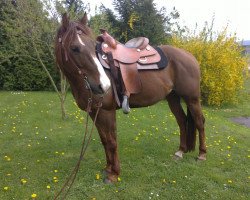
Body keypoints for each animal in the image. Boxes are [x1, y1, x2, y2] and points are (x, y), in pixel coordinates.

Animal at [55, 13, 206, 184]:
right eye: (74, 48)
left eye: (93, 46)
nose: (104, 85)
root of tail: (190, 56)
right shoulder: (94, 111)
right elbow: (104, 140)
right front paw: (108, 168)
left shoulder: (107, 111)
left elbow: (112, 141)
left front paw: (114, 174)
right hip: (172, 98)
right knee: (182, 120)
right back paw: (180, 152)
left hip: (192, 98)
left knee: (199, 122)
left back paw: (201, 155)